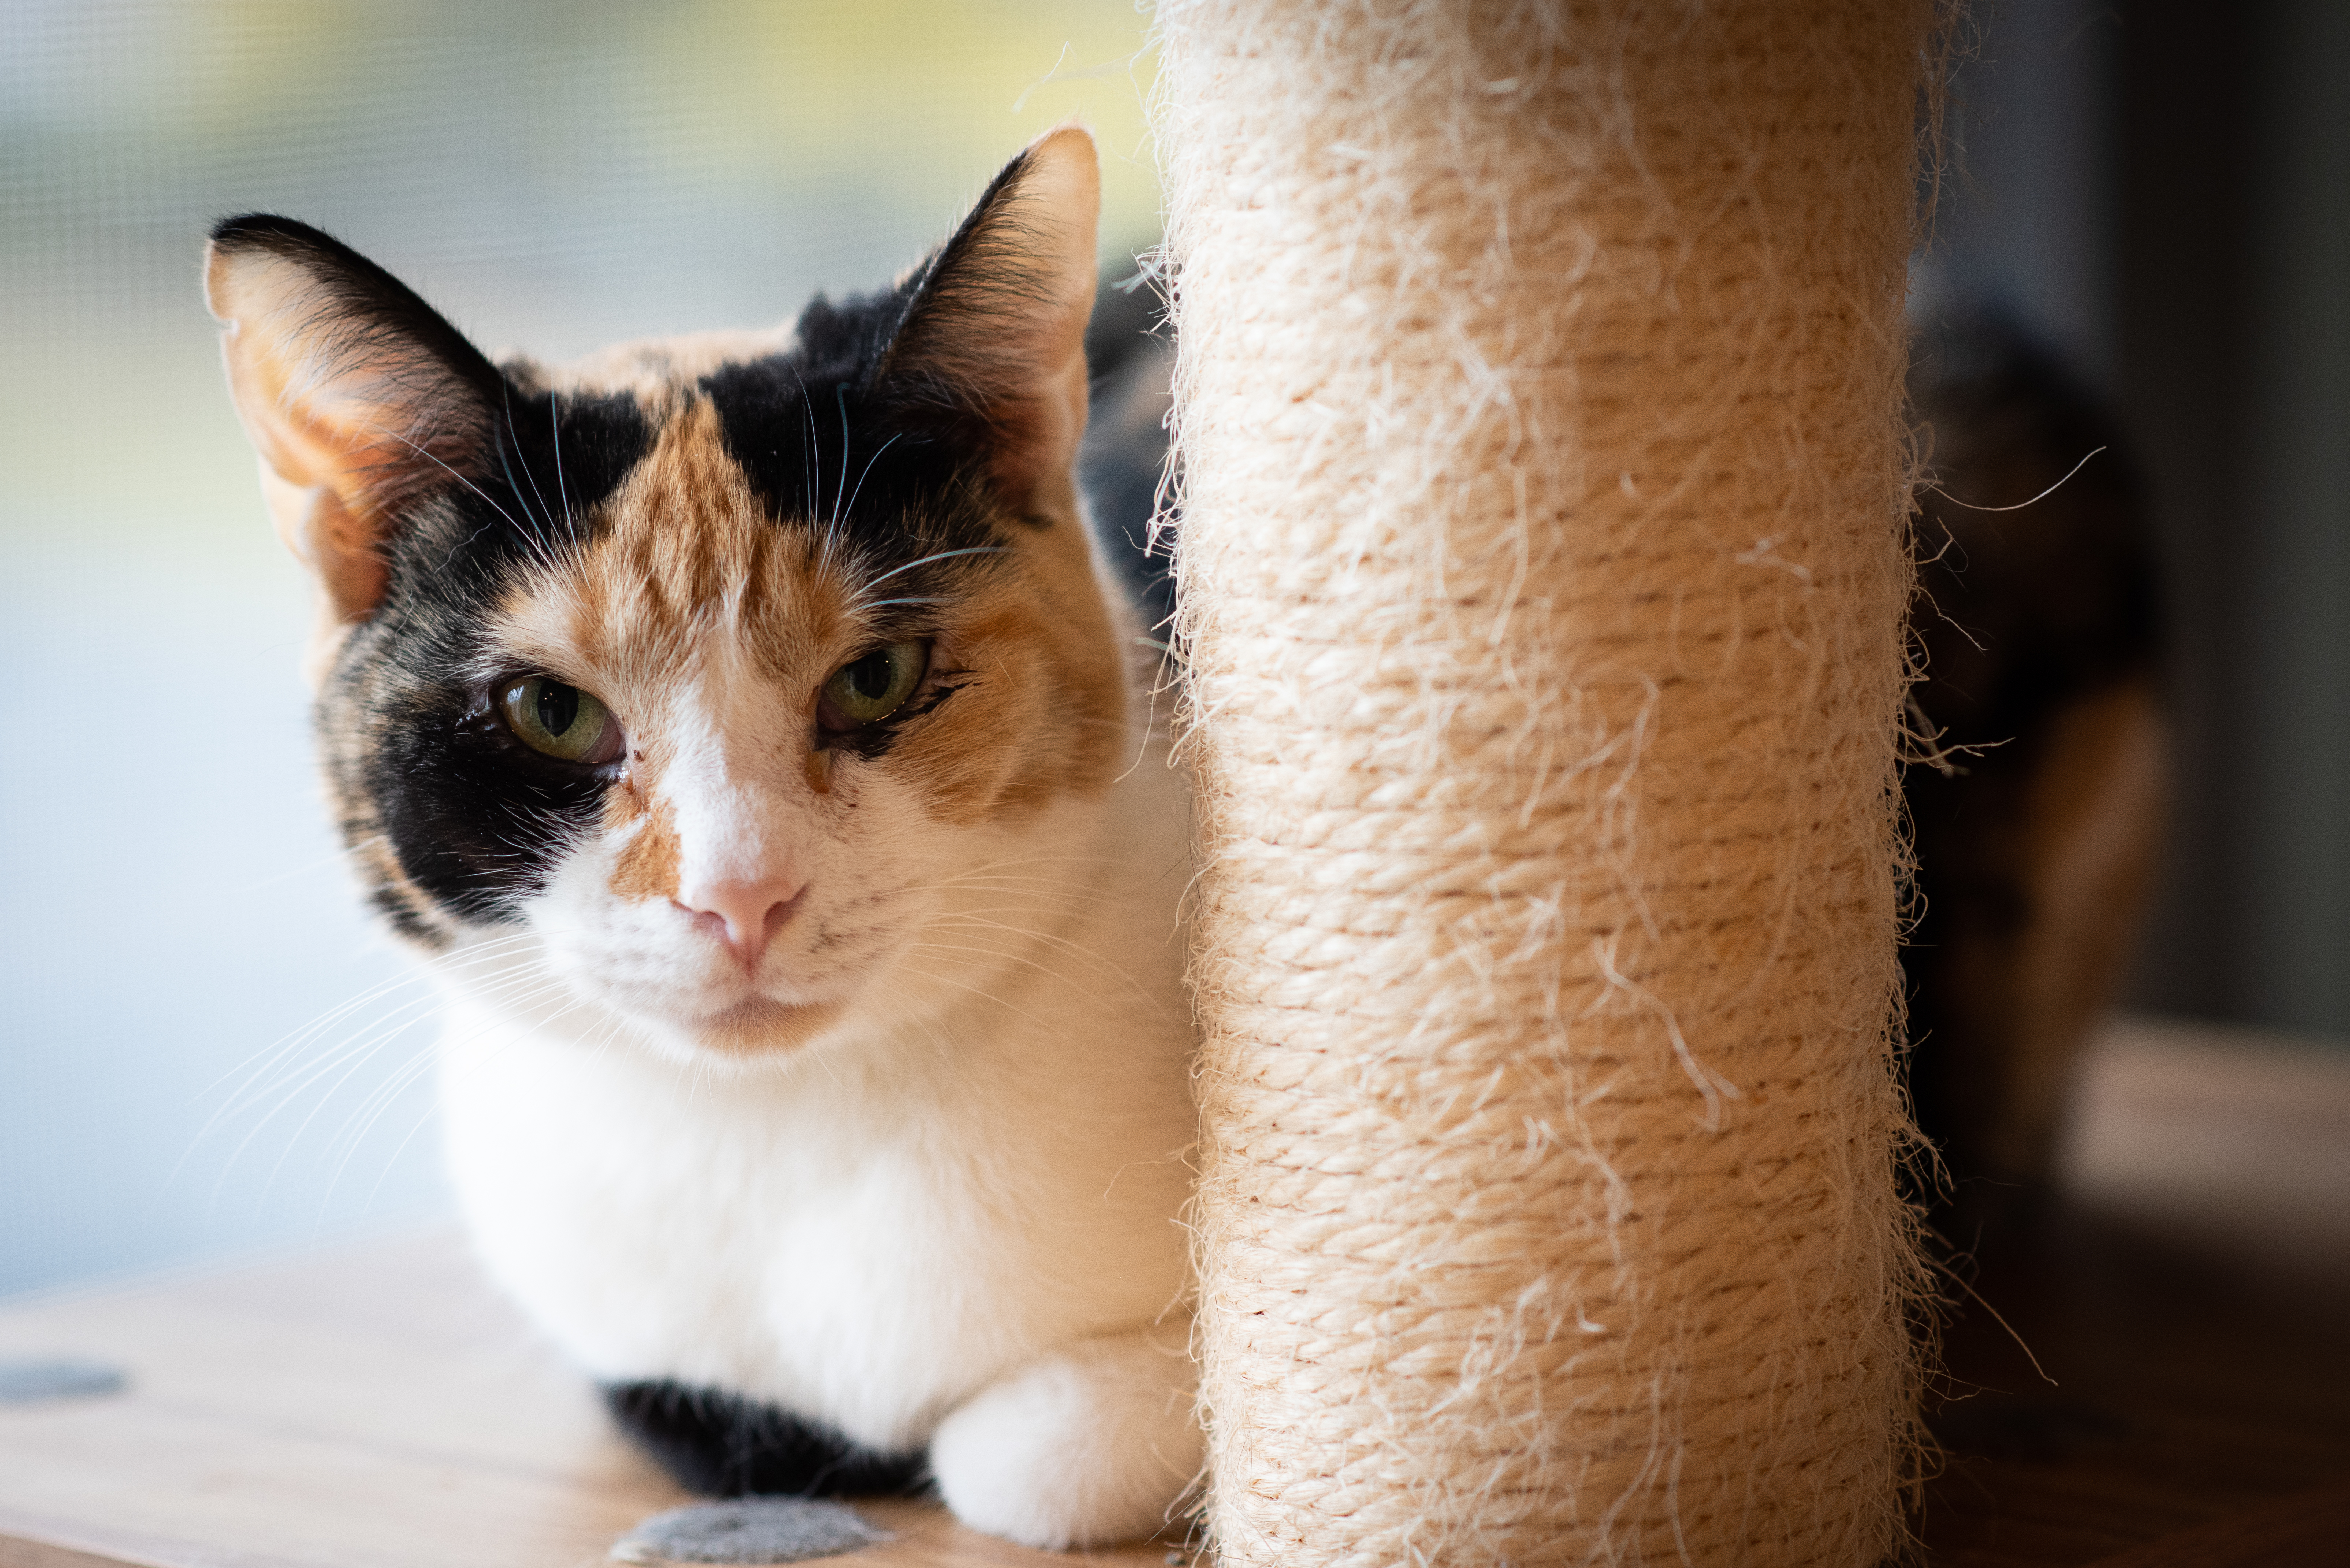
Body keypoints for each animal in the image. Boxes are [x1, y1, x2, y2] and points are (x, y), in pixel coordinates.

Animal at [209, 129, 1203, 1552]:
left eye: (877, 679)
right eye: (552, 713)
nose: (741, 896)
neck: (778, 1139)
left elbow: (1028, 1460)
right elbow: (706, 1415)